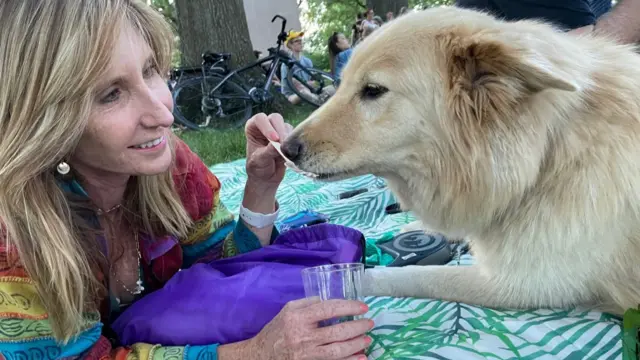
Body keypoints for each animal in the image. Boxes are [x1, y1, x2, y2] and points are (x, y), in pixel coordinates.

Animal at [282, 6, 640, 316]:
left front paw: (344, 281)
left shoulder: (521, 286)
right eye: (341, 84)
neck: (544, 157)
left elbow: (414, 277)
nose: (285, 148)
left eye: (372, 90)